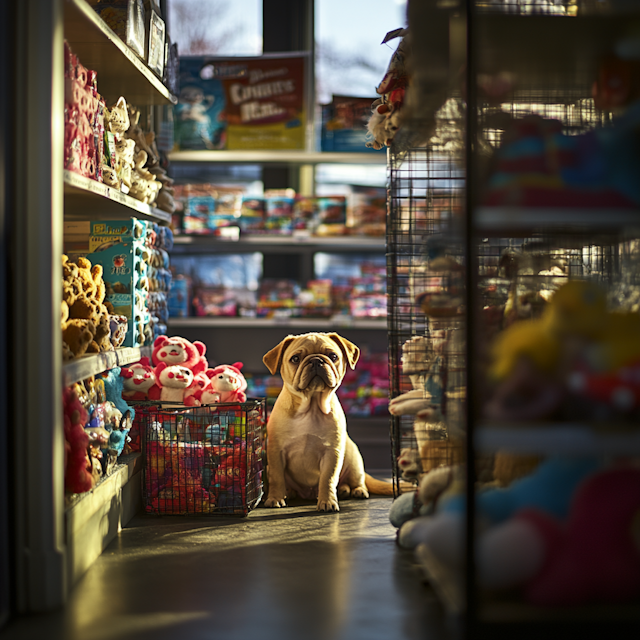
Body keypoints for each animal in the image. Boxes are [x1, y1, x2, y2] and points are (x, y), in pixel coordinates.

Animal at [262, 332, 392, 512]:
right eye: (295, 359)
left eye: (333, 356)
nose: (316, 360)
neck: (311, 407)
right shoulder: (276, 453)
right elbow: (277, 478)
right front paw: (275, 498)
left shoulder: (332, 453)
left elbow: (328, 479)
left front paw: (327, 502)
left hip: (354, 461)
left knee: (358, 480)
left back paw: (355, 490)